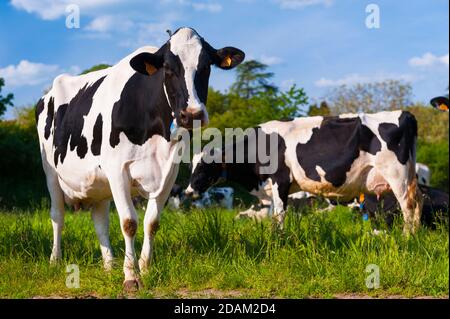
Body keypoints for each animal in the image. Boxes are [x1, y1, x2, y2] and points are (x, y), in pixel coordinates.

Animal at [35, 27, 244, 290]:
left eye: (206, 67)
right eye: (168, 69)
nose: (192, 115)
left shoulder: (169, 173)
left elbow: (152, 222)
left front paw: (145, 268)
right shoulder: (117, 170)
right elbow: (129, 223)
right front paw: (130, 276)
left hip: (99, 184)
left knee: (100, 221)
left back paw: (109, 265)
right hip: (50, 172)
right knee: (58, 216)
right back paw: (55, 260)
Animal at [185, 111, 422, 234]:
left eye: (205, 166)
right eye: (191, 165)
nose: (187, 191)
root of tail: (405, 114)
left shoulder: (280, 180)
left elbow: (280, 214)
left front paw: (278, 240)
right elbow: (275, 213)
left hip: (397, 176)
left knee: (408, 208)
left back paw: (406, 238)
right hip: (410, 176)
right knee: (418, 203)